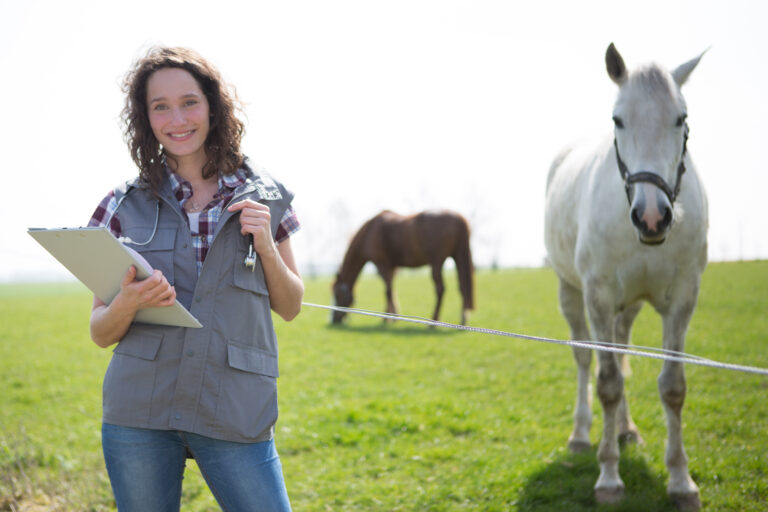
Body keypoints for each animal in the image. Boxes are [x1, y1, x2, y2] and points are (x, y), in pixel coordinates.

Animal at [331, 209, 474, 325]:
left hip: (437, 263)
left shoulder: (382, 265)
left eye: (337, 294)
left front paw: (387, 319)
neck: (369, 233)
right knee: (462, 287)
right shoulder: (392, 268)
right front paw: (392, 316)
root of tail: (457, 218)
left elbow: (388, 291)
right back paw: (463, 319)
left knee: (440, 289)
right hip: (457, 257)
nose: (333, 320)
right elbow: (392, 290)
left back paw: (433, 322)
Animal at [544, 43, 708, 510]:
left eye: (680, 118)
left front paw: (681, 481)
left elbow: (672, 386)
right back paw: (582, 435)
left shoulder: (683, 299)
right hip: (570, 292)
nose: (652, 217)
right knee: (586, 357)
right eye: (618, 119)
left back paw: (625, 429)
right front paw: (609, 477)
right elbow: (608, 384)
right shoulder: (597, 297)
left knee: (619, 348)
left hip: (629, 306)